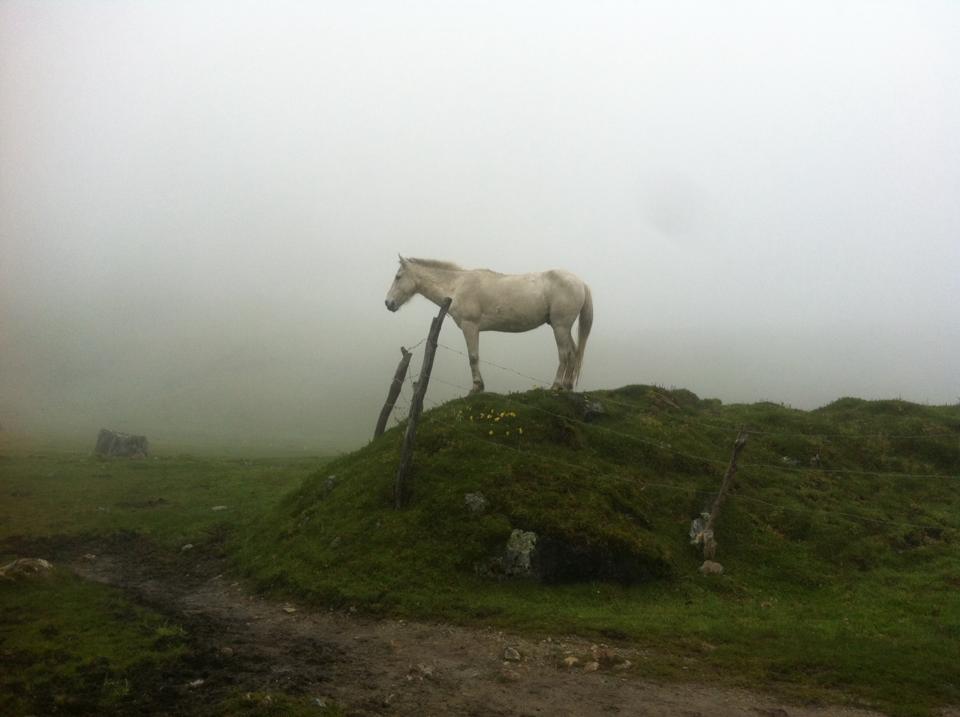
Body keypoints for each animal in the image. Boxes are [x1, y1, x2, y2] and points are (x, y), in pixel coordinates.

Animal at [384, 256, 592, 392]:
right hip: (563, 328)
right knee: (573, 353)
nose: (388, 303)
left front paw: (477, 386)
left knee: (565, 354)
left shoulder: (470, 326)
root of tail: (580, 282)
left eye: (398, 277)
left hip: (560, 327)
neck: (457, 285)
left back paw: (556, 386)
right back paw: (567, 386)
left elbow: (473, 356)